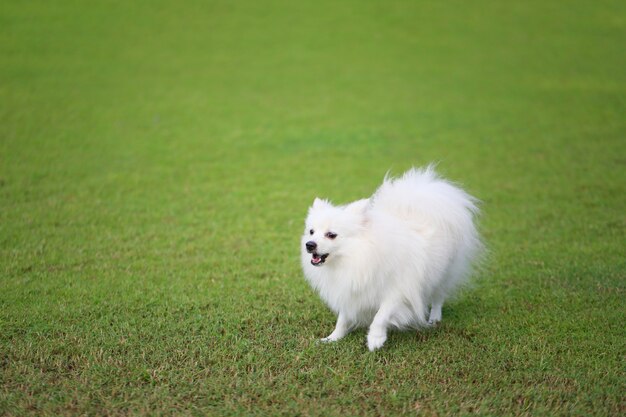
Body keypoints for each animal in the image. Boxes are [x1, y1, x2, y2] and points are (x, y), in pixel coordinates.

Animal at [300, 165, 480, 348]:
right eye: (311, 232)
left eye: (331, 235)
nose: (309, 244)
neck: (357, 256)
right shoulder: (350, 290)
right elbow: (343, 318)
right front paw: (333, 337)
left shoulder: (398, 291)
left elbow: (381, 315)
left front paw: (375, 338)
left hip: (444, 274)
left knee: (438, 297)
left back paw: (434, 319)